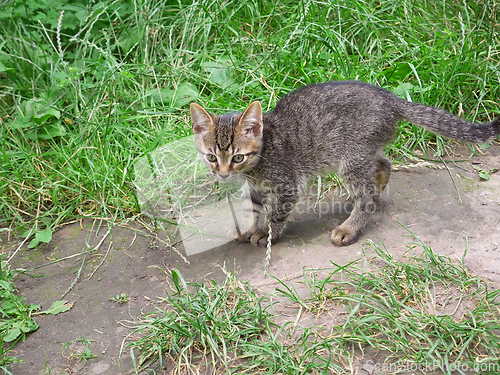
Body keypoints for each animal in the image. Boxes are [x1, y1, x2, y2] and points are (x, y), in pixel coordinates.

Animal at [189, 80, 498, 247]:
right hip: (361, 154)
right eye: (212, 157)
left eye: (237, 157)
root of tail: (389, 97)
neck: (259, 160)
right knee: (384, 164)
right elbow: (252, 209)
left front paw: (267, 235)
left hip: (349, 159)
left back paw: (350, 227)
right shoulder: (254, 188)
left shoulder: (287, 184)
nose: (222, 174)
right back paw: (377, 187)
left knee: (367, 196)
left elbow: (276, 214)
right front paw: (250, 229)